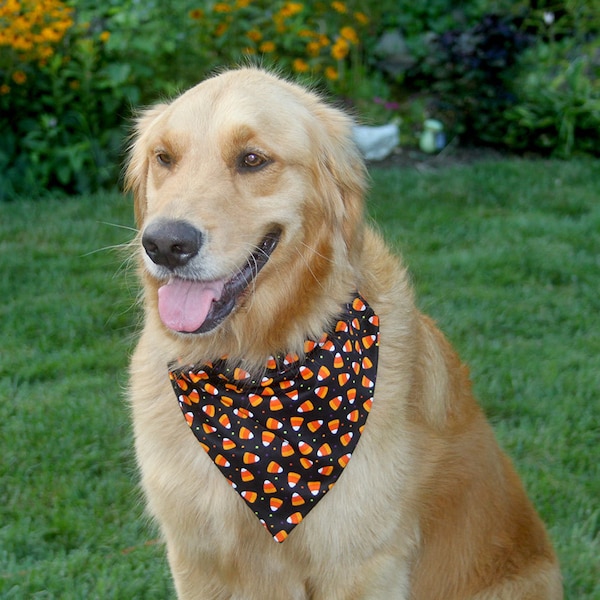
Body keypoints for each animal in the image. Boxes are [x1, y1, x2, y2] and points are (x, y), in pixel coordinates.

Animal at [125, 68, 564, 596]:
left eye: (252, 159)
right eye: (164, 158)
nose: (165, 244)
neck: (255, 365)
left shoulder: (362, 561)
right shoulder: (196, 559)